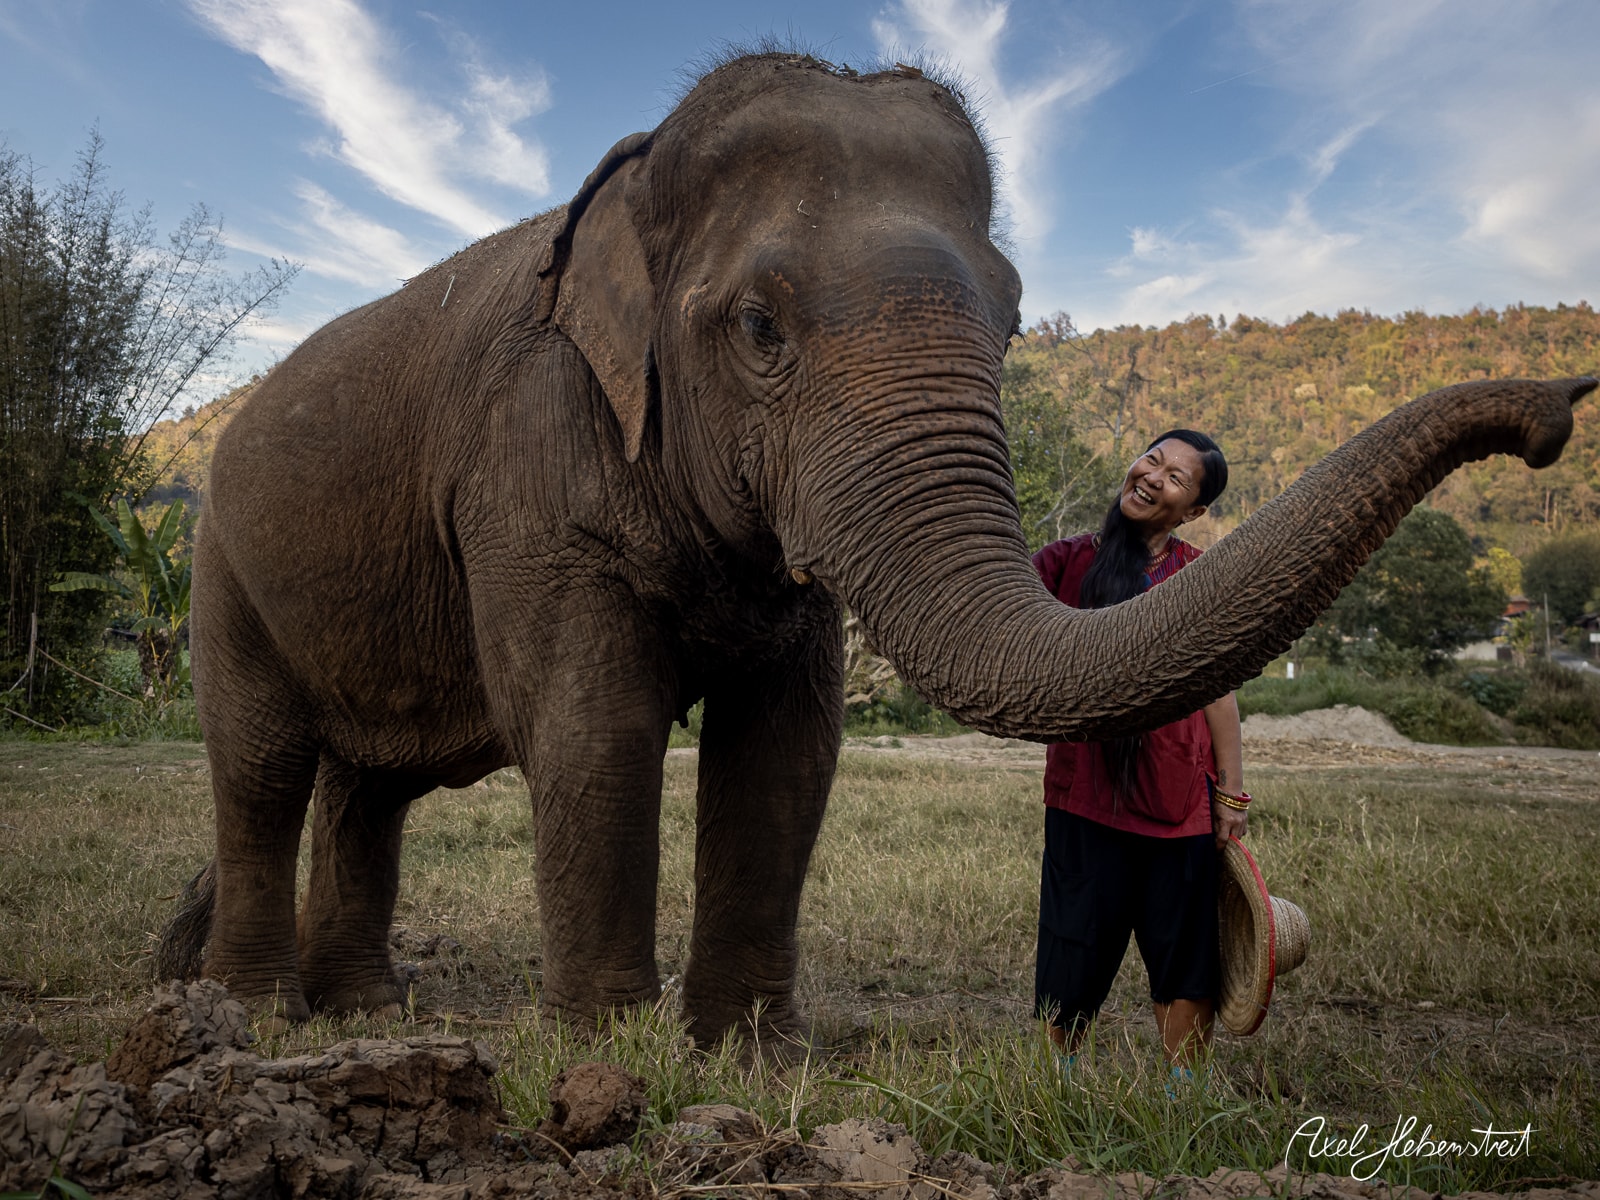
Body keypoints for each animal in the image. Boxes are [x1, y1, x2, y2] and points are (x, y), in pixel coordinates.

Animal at [159, 50, 1592, 1047]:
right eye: (758, 327)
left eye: (1011, 318)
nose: (1556, 408)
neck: (629, 184)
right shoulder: (528, 470)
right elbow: (591, 726)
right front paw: (606, 1058)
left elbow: (789, 748)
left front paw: (750, 1058)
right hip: (219, 564)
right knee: (268, 764)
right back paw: (248, 1014)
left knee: (372, 787)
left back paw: (361, 1015)